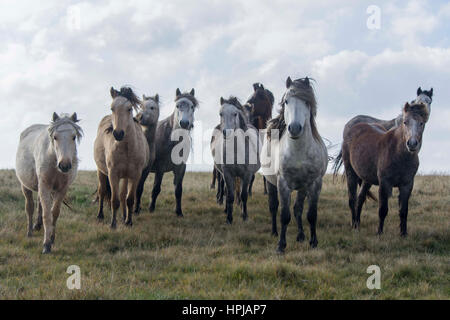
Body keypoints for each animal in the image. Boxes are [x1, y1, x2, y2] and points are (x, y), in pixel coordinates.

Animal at [15, 112, 83, 252]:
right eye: (55, 137)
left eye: (73, 137)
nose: (64, 165)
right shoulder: (45, 186)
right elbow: (47, 214)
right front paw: (46, 244)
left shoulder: (62, 189)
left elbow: (54, 213)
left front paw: (52, 238)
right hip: (26, 186)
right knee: (29, 207)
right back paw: (29, 232)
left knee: (39, 204)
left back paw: (37, 225)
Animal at [93, 86, 149, 229]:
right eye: (112, 108)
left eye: (129, 109)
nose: (118, 134)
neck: (127, 149)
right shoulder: (113, 174)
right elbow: (115, 200)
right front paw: (113, 224)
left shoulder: (135, 175)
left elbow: (129, 199)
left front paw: (129, 222)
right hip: (101, 171)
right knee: (102, 191)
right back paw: (100, 215)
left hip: (125, 177)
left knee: (124, 195)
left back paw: (124, 217)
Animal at [211, 96, 260, 224]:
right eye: (221, 113)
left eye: (235, 114)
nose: (226, 132)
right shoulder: (228, 174)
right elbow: (230, 196)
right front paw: (229, 218)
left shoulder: (247, 174)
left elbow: (244, 195)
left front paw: (245, 216)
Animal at [260, 77, 326, 252]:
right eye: (286, 101)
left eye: (306, 102)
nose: (295, 128)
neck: (299, 152)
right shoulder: (283, 183)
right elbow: (284, 215)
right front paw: (281, 246)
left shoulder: (314, 183)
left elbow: (311, 214)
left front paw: (313, 242)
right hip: (271, 183)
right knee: (273, 207)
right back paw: (274, 232)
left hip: (302, 188)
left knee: (298, 209)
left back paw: (301, 235)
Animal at [332, 102, 430, 235]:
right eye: (405, 122)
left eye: (421, 123)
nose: (412, 144)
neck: (399, 154)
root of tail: (353, 127)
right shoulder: (384, 183)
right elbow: (383, 209)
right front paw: (379, 233)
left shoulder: (407, 185)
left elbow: (404, 211)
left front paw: (403, 234)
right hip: (350, 172)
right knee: (352, 199)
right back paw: (354, 225)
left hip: (367, 179)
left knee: (360, 198)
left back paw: (358, 224)